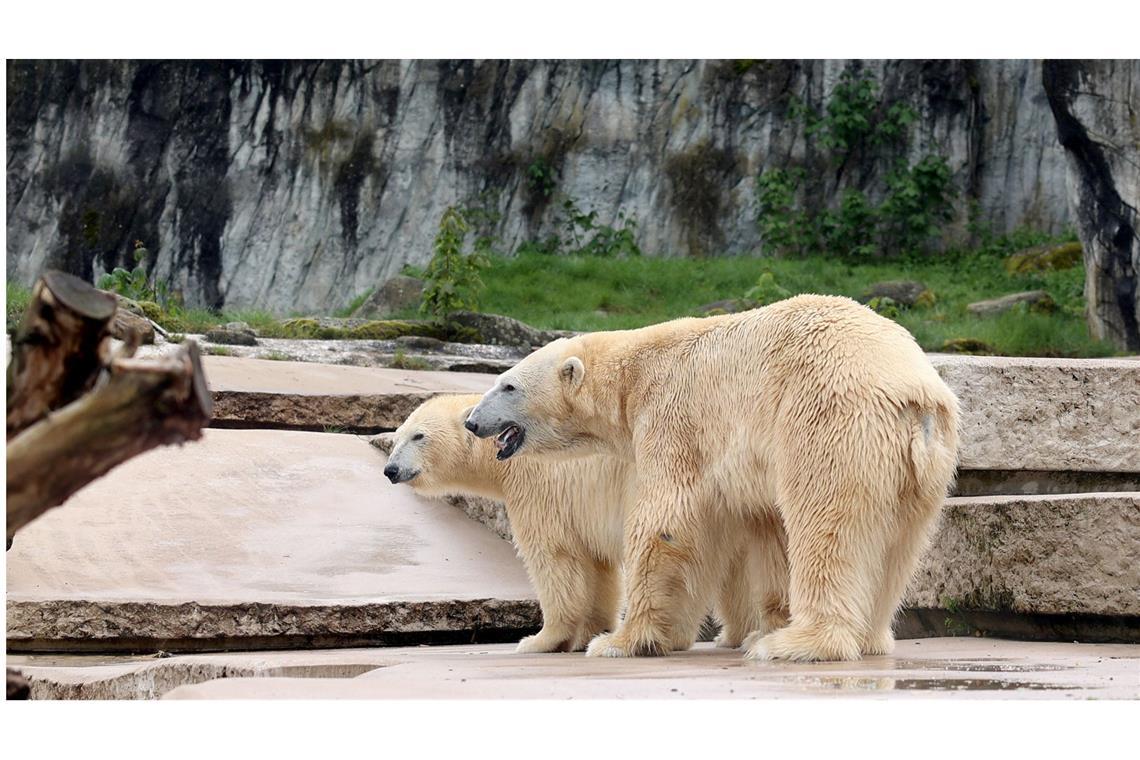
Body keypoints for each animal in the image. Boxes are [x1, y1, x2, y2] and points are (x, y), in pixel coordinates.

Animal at [380, 391, 784, 656]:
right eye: (397, 437)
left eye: (419, 435)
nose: (391, 470)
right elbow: (598, 568)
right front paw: (589, 631)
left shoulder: (540, 486)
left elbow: (555, 558)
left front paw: (540, 640)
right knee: (733, 566)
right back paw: (728, 635)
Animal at [462, 293, 962, 660]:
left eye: (507, 384)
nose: (471, 421)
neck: (633, 372)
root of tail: (914, 394)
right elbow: (765, 528)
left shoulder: (671, 415)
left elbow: (665, 520)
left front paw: (619, 641)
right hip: (925, 467)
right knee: (899, 546)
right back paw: (869, 638)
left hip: (829, 420)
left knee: (827, 525)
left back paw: (796, 644)